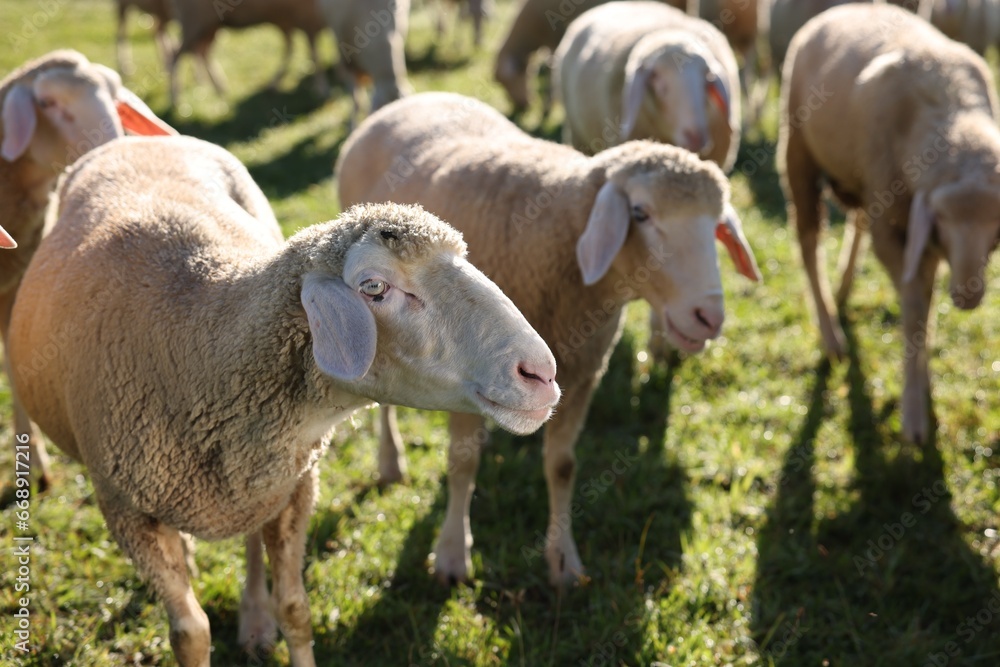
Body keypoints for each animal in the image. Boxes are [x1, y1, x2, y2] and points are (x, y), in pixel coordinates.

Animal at [1, 49, 175, 491]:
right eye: (46, 103)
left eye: (115, 97)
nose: (118, 151)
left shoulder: (14, 290)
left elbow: (15, 366)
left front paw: (35, 465)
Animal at [8, 133, 560, 664]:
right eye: (374, 287)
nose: (541, 373)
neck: (200, 347)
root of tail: (136, 141)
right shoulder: (125, 511)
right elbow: (190, 635)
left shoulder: (293, 487)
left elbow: (295, 608)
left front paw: (276, 619)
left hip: (259, 484)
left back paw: (254, 620)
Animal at [168, 0, 330, 108]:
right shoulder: (306, 21)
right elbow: (314, 55)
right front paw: (322, 90)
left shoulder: (288, 22)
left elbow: (291, 51)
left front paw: (273, 84)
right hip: (194, 21)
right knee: (176, 55)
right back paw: (176, 98)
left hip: (210, 25)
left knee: (201, 52)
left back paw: (219, 88)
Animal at [337, 91, 761, 585]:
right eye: (640, 213)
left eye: (716, 224)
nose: (708, 317)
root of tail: (414, 98)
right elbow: (462, 464)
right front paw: (452, 555)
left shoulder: (579, 375)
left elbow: (562, 467)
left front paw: (563, 560)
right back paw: (390, 463)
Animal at [779, 3, 1000, 444]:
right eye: (945, 216)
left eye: (996, 224)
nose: (967, 296)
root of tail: (840, 10)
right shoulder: (899, 228)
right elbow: (914, 305)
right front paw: (914, 415)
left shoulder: (920, 231)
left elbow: (924, 303)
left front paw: (923, 377)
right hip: (798, 149)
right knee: (809, 242)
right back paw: (831, 333)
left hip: (862, 178)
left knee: (857, 220)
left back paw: (844, 290)